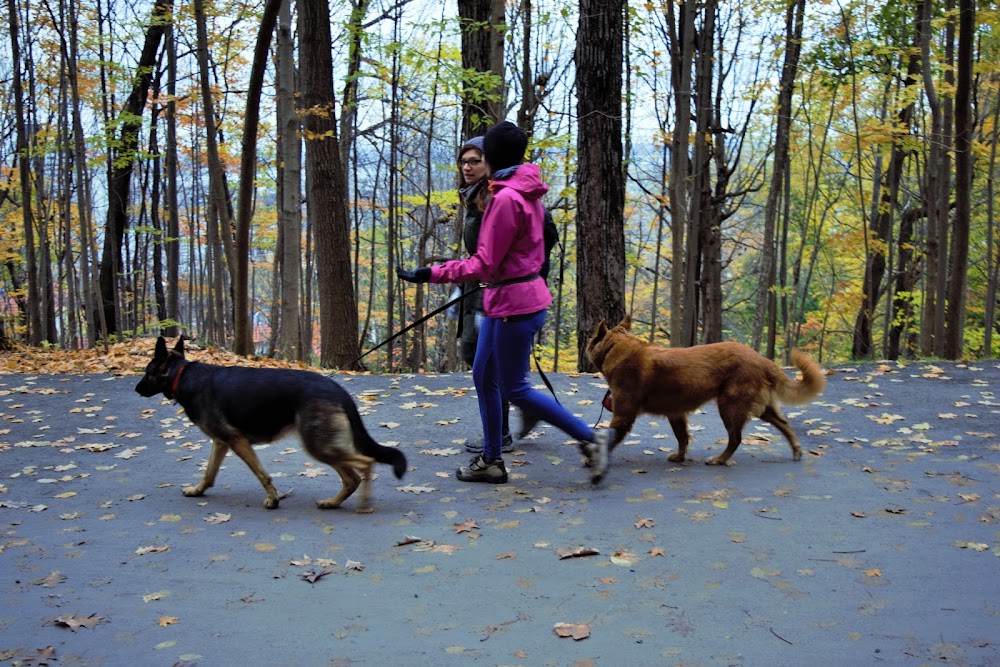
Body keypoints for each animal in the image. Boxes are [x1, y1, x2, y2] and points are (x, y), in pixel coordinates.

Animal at [136, 340, 406, 512]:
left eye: (147, 371)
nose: (136, 389)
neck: (181, 374)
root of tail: (338, 390)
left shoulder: (238, 442)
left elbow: (262, 474)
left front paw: (273, 500)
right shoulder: (221, 442)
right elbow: (209, 473)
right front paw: (198, 490)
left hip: (318, 446)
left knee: (365, 464)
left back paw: (362, 503)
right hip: (324, 445)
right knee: (351, 478)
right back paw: (333, 503)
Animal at [584, 318, 824, 464]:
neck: (617, 349)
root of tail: (761, 358)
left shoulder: (623, 415)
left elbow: (611, 437)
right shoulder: (676, 414)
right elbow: (682, 438)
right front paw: (680, 457)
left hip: (729, 407)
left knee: (736, 438)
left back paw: (720, 459)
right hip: (760, 407)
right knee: (784, 424)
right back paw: (796, 450)